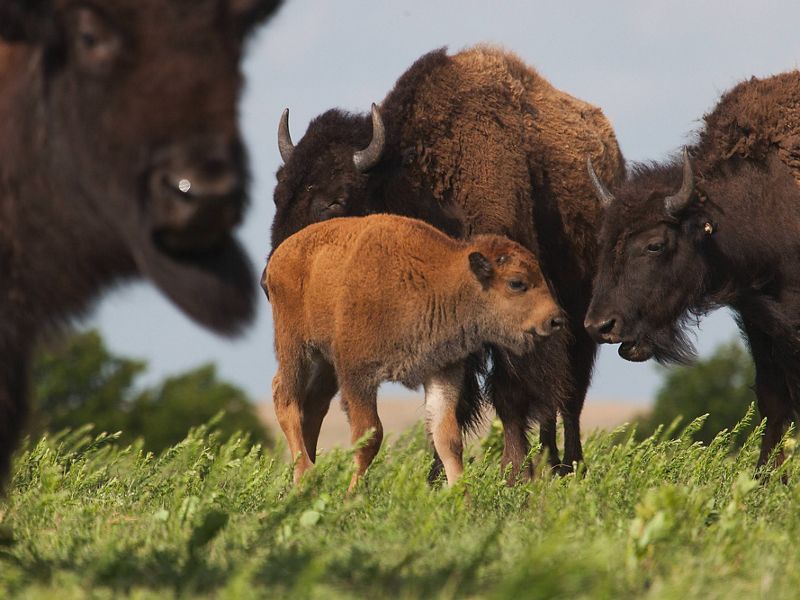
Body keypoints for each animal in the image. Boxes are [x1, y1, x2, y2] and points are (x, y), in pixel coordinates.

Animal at [265, 213, 564, 490]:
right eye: (517, 283)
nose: (555, 319)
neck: (439, 281)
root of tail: (279, 257)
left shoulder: (441, 372)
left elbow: (448, 439)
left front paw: (461, 499)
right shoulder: (358, 375)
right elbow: (370, 436)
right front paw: (352, 495)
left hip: (325, 364)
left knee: (312, 406)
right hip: (297, 349)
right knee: (285, 397)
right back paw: (305, 475)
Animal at [585, 70, 800, 471]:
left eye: (654, 244)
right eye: (604, 242)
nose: (600, 326)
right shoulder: (758, 318)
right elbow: (773, 400)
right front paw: (765, 477)